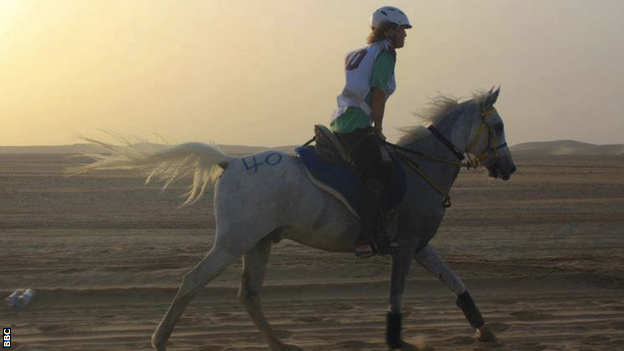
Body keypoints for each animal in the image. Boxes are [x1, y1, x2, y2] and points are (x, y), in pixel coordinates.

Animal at [74, 86, 516, 350]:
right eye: (497, 125)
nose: (509, 168)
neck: (423, 165)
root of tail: (228, 162)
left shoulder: (421, 246)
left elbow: (456, 283)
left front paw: (485, 328)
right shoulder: (406, 246)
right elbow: (397, 294)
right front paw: (396, 339)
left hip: (257, 244)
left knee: (248, 295)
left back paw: (279, 344)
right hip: (232, 243)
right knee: (192, 281)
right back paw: (159, 339)